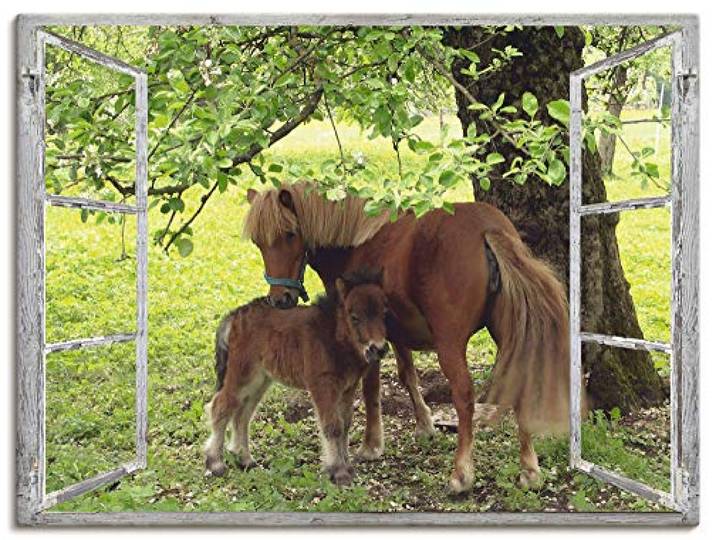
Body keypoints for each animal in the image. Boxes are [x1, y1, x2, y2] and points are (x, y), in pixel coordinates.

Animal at [204, 268, 389, 486]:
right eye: (354, 317)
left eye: (384, 313)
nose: (378, 349)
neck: (333, 336)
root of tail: (235, 315)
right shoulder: (322, 386)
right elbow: (333, 426)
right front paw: (338, 472)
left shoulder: (348, 388)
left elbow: (345, 425)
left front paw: (346, 467)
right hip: (242, 374)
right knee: (221, 407)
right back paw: (215, 463)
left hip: (259, 381)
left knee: (242, 414)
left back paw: (245, 460)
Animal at [242, 182, 571, 494]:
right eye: (258, 242)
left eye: (289, 234)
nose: (280, 299)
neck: (357, 242)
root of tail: (487, 229)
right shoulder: (396, 334)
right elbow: (407, 375)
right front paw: (425, 424)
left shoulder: (366, 340)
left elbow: (371, 389)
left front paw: (371, 444)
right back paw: (529, 470)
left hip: (450, 344)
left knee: (464, 396)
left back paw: (461, 474)